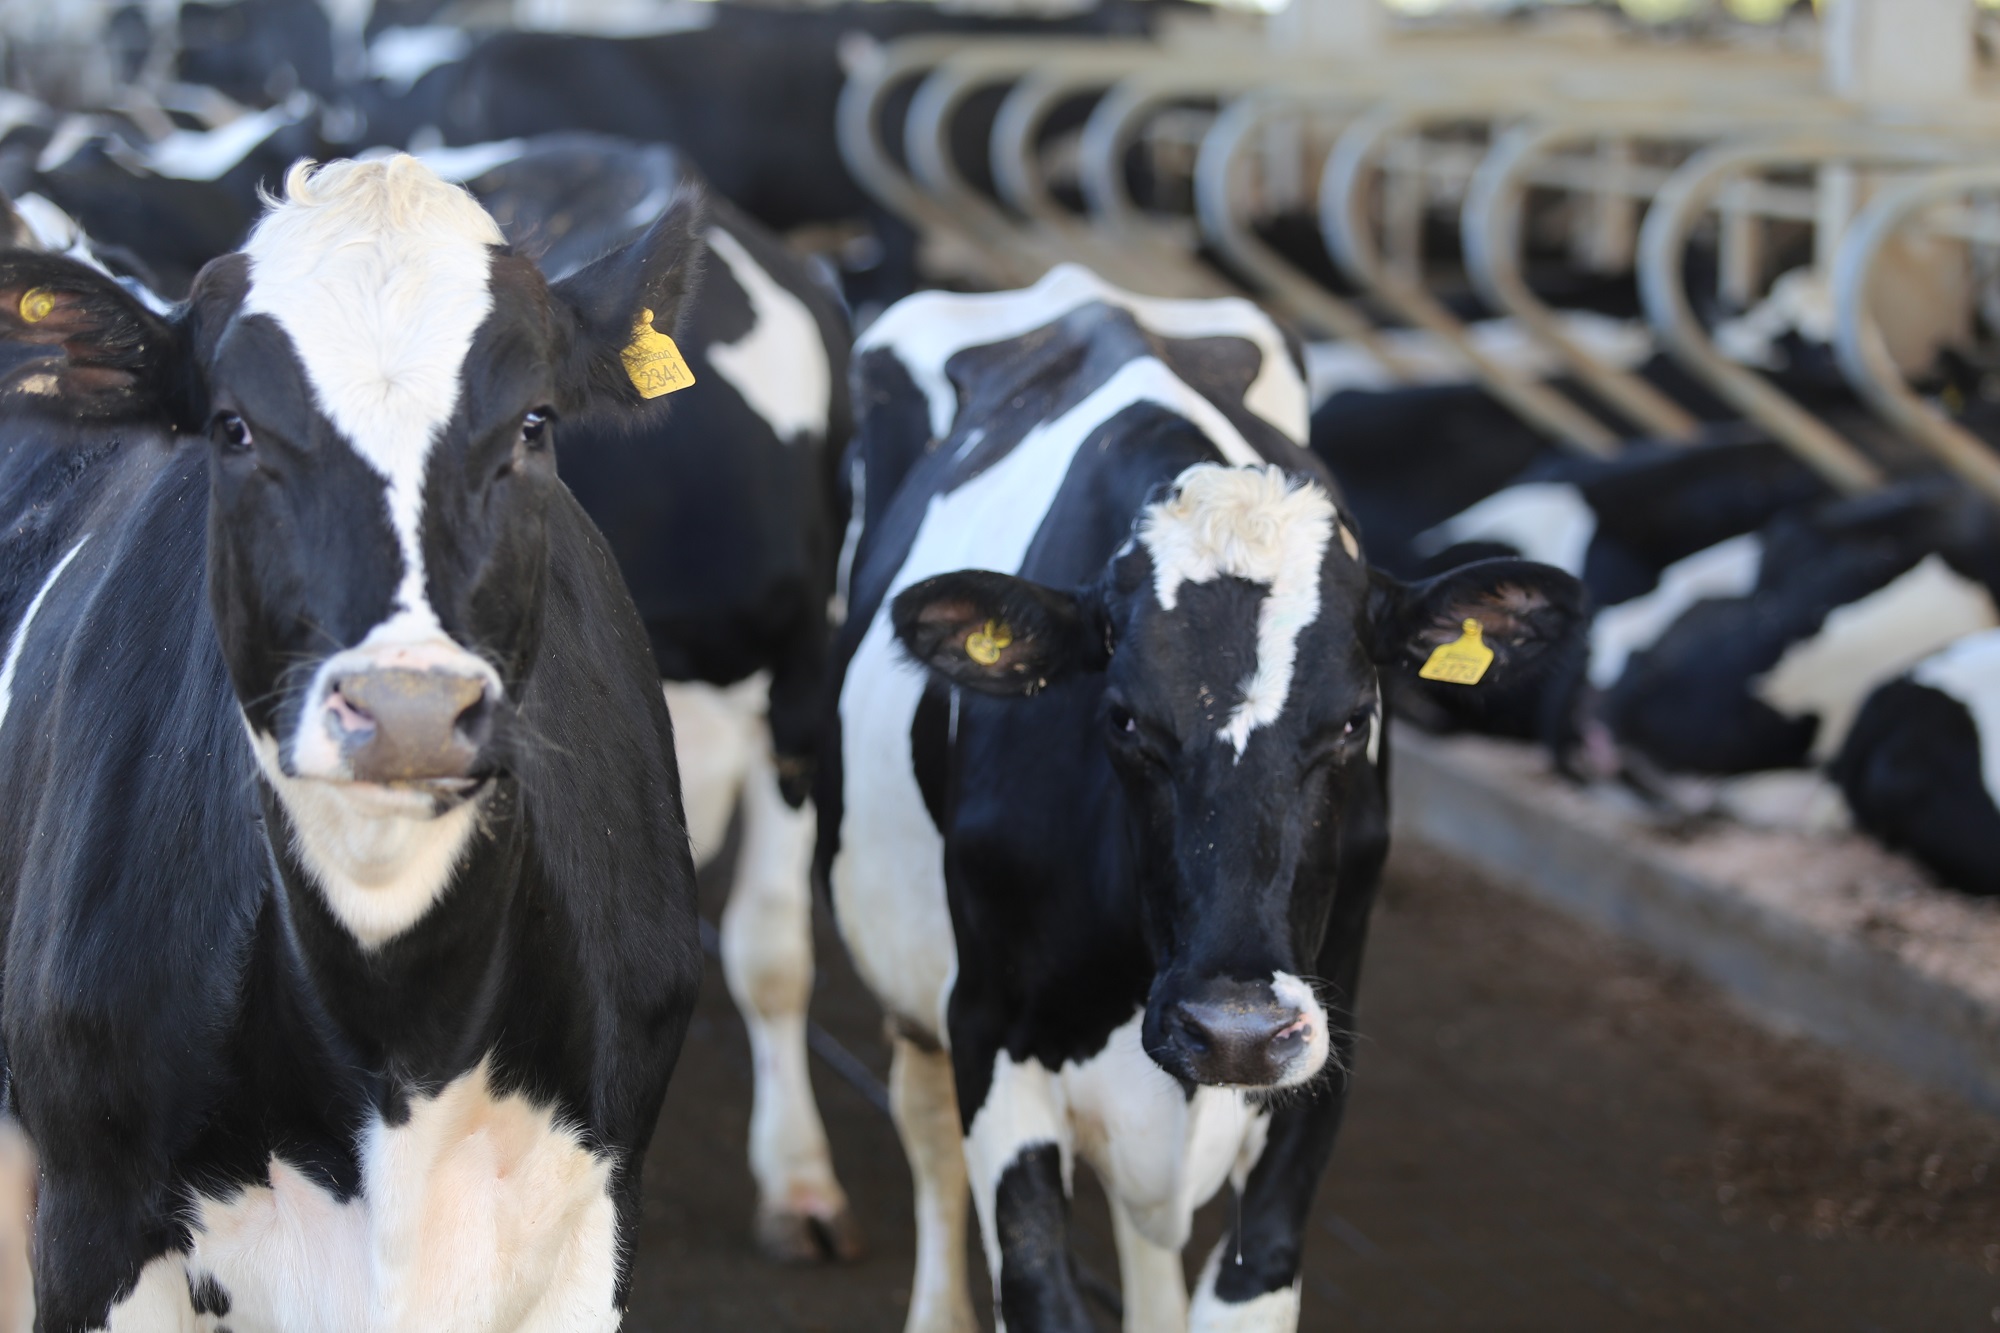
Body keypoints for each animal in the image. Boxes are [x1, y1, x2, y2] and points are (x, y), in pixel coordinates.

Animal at [0, 158, 712, 1328]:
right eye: (232, 427)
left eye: (533, 423)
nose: (408, 704)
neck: (404, 1044)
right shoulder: (93, 1217)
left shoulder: (599, 1211)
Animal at [808, 264, 1576, 1320]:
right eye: (1125, 719)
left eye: (1353, 721)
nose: (1234, 1031)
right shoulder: (990, 1031)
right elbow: (1033, 1274)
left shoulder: (1323, 1046)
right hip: (908, 963)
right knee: (922, 1125)